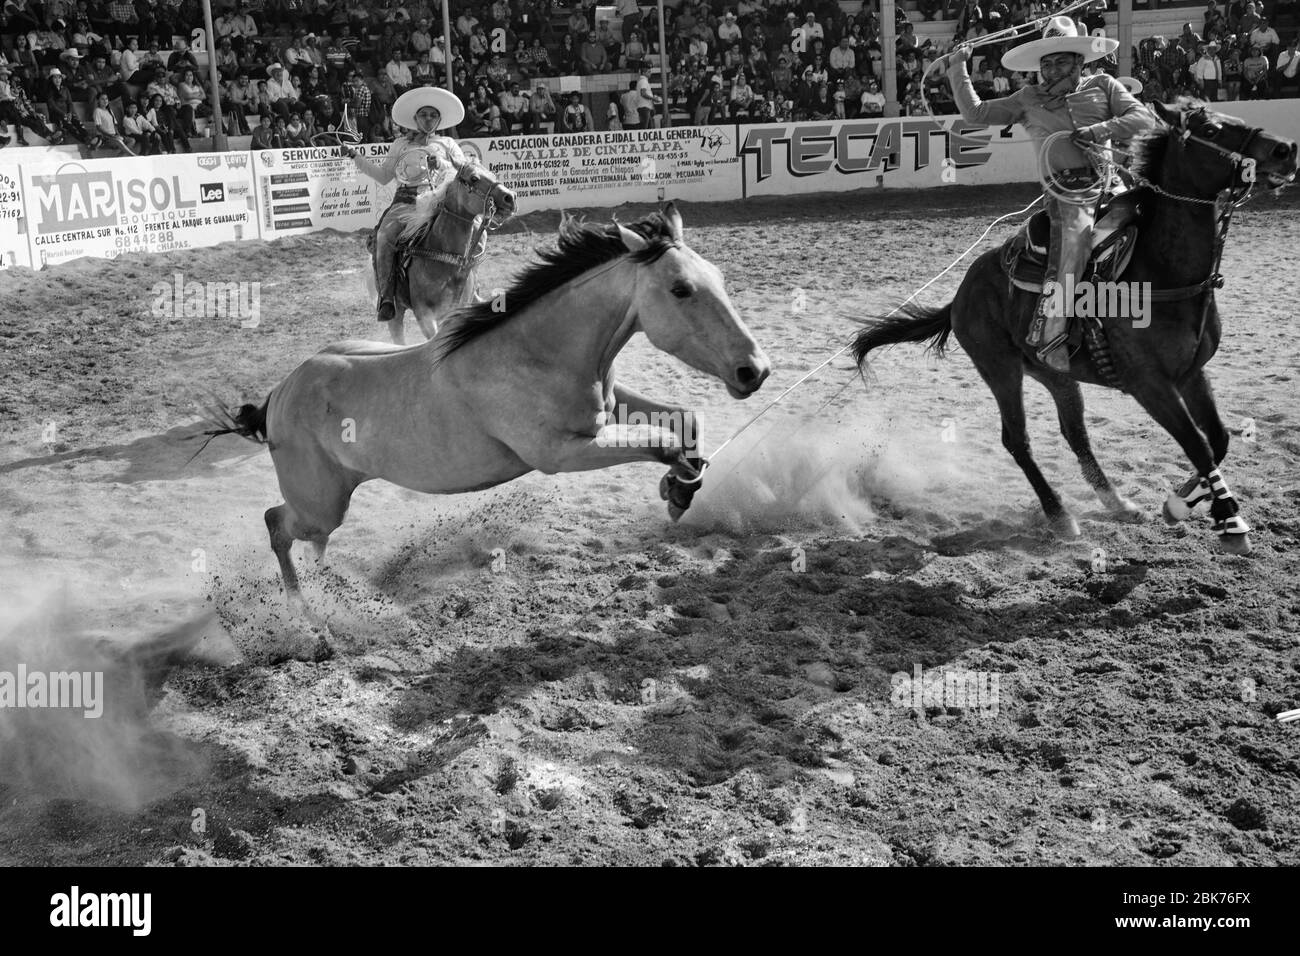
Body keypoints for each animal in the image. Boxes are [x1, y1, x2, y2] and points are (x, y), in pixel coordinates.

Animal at [208, 202, 764, 621]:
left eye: (716, 276)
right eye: (680, 289)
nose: (754, 370)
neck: (536, 349)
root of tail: (280, 395)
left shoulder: (610, 406)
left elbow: (685, 421)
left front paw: (683, 487)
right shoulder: (563, 453)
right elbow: (661, 442)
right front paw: (676, 491)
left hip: (325, 507)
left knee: (305, 541)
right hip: (318, 505)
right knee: (276, 525)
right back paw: (305, 616)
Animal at [857, 98, 1294, 554]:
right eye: (1210, 129)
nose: (1286, 150)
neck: (1161, 272)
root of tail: (961, 293)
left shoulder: (1191, 374)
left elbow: (1218, 440)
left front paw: (1176, 505)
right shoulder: (1150, 385)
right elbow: (1199, 445)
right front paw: (1230, 521)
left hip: (1054, 374)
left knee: (1076, 434)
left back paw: (1117, 503)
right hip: (999, 369)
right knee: (1017, 440)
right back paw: (1060, 515)